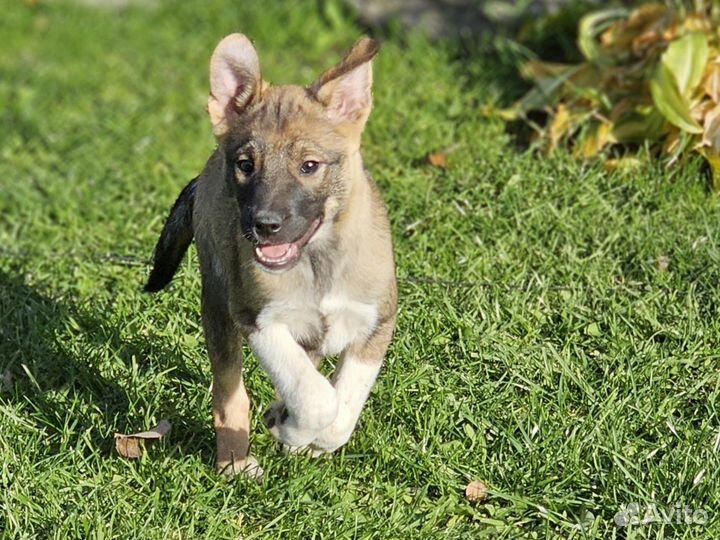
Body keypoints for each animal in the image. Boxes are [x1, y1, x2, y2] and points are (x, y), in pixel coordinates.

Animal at [144, 33, 396, 476]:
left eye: (309, 165)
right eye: (246, 165)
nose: (263, 226)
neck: (318, 263)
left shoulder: (377, 323)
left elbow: (342, 409)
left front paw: (304, 436)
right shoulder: (256, 317)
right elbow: (316, 399)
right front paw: (292, 429)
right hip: (217, 304)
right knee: (229, 394)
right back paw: (234, 463)